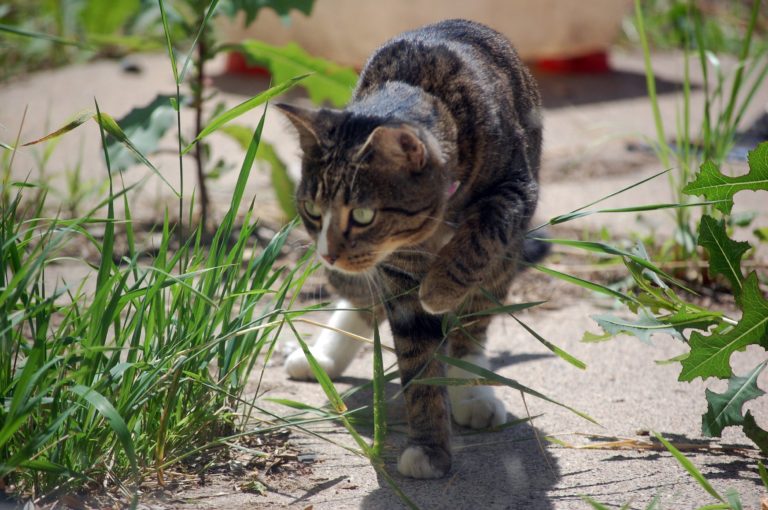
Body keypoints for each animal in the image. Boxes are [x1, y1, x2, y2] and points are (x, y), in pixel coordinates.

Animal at [276, 16, 540, 478]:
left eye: (364, 215)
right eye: (311, 210)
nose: (327, 253)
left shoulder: (516, 188)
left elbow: (481, 235)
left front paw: (441, 288)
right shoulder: (396, 267)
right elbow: (418, 359)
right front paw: (429, 447)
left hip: (507, 257)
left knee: (475, 321)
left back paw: (473, 390)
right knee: (361, 298)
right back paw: (323, 355)